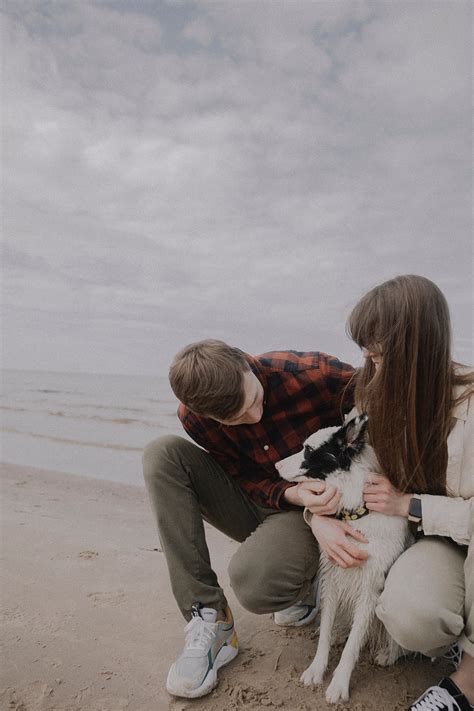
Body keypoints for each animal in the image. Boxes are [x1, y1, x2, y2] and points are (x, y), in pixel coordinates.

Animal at [276, 414, 412, 704]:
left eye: (308, 449)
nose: (275, 464)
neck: (356, 515)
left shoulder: (371, 588)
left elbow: (353, 646)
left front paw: (339, 684)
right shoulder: (332, 575)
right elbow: (326, 626)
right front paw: (317, 669)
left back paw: (389, 653)